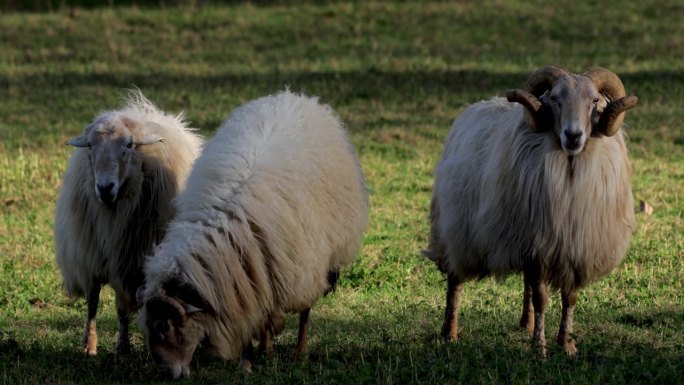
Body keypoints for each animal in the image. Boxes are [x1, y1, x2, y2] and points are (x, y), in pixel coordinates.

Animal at [54, 91, 202, 356]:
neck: (114, 214)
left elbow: (128, 306)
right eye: (90, 145)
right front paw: (95, 345)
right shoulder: (95, 256)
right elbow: (98, 302)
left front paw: (127, 347)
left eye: (129, 145)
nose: (104, 188)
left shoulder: (133, 260)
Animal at [135, 90, 368, 378]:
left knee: (306, 308)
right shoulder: (248, 274)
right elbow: (252, 316)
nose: (167, 373)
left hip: (316, 260)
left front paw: (260, 355)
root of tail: (294, 97)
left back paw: (300, 352)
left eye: (165, 326)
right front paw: (249, 359)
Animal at [424, 65, 640, 354]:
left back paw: (525, 324)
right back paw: (450, 331)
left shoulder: (572, 247)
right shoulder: (536, 248)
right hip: (458, 230)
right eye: (554, 99)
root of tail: (475, 107)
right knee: (455, 280)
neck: (570, 169)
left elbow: (570, 298)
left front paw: (566, 343)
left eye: (595, 100)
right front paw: (540, 347)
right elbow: (541, 298)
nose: (573, 136)